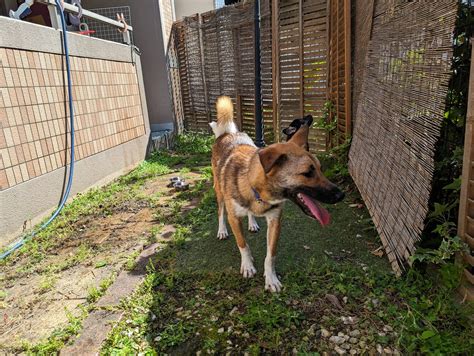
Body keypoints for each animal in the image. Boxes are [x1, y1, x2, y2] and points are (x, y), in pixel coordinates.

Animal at [211, 96, 344, 290]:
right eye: (307, 173)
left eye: (320, 169)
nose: (341, 195)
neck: (257, 191)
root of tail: (227, 134)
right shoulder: (234, 218)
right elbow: (243, 244)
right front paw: (248, 266)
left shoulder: (275, 221)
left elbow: (270, 255)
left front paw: (271, 278)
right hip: (219, 192)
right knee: (221, 211)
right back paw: (222, 230)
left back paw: (252, 223)